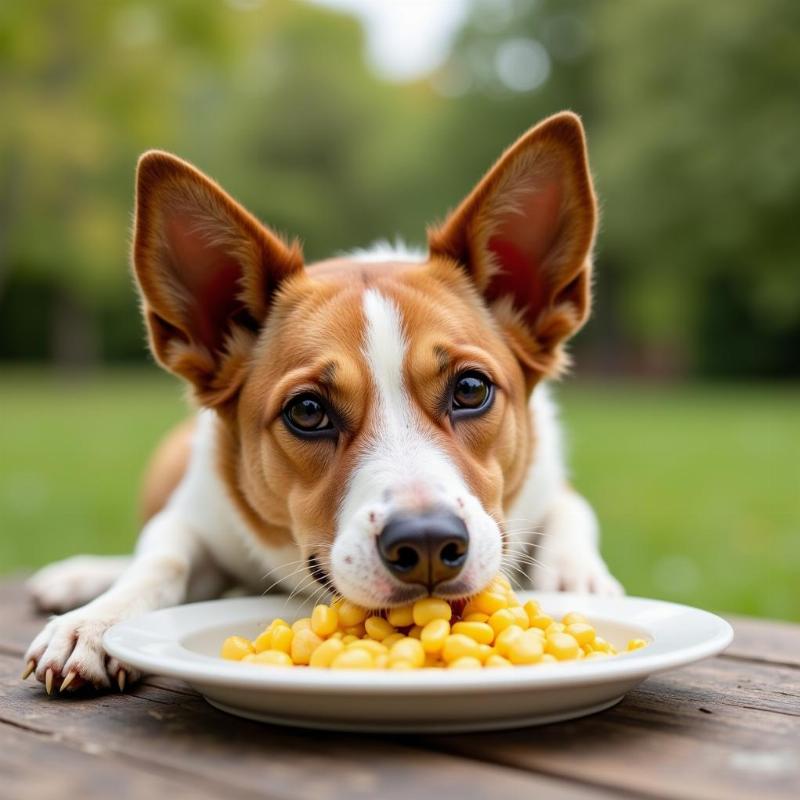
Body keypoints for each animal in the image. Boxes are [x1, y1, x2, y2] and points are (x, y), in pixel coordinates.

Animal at [20, 112, 620, 692]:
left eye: (471, 389)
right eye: (307, 412)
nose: (427, 543)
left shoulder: (549, 484)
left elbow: (574, 515)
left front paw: (579, 581)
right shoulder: (194, 513)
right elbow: (162, 556)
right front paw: (98, 620)